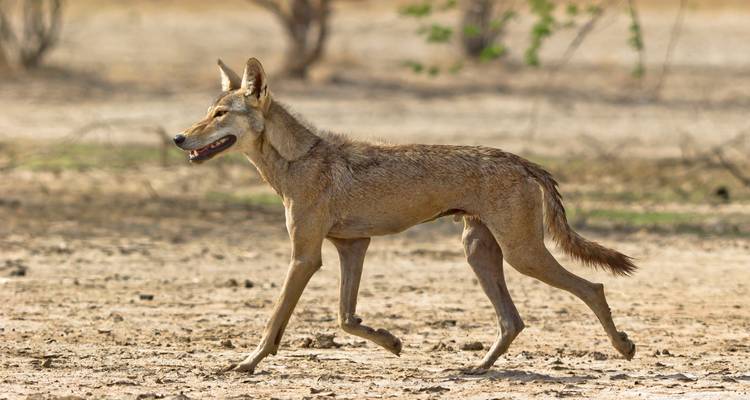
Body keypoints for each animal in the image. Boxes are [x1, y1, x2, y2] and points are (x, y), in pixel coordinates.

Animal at [174, 58, 637, 374]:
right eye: (208, 111)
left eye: (220, 114)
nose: (178, 137)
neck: (297, 159)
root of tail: (521, 160)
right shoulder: (352, 247)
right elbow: (346, 318)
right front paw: (391, 341)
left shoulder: (305, 257)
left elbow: (275, 320)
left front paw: (248, 362)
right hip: (479, 252)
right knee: (513, 320)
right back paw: (478, 368)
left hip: (522, 255)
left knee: (592, 287)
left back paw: (623, 347)